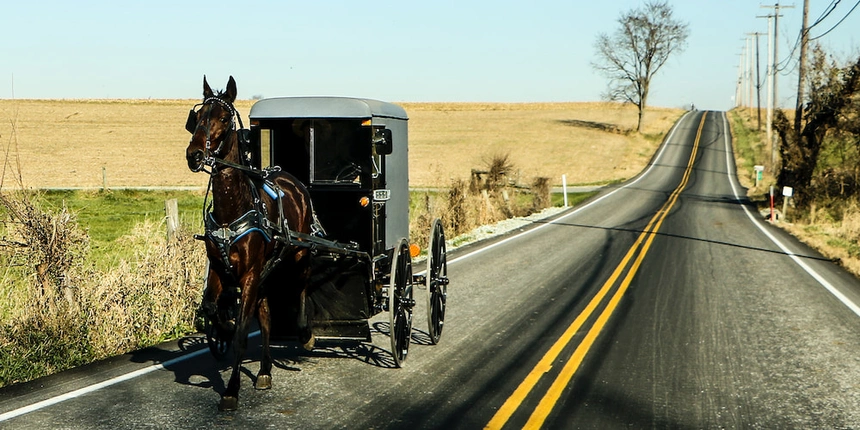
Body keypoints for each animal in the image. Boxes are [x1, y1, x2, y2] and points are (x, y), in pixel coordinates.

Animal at [185, 75, 316, 412]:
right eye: (197, 116)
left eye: (224, 118)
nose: (194, 154)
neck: (233, 209)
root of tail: (290, 179)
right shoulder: (220, 268)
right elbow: (211, 307)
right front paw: (222, 327)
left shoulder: (250, 275)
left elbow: (244, 333)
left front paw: (231, 389)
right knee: (267, 315)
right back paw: (266, 370)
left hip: (299, 252)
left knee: (301, 287)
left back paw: (305, 334)